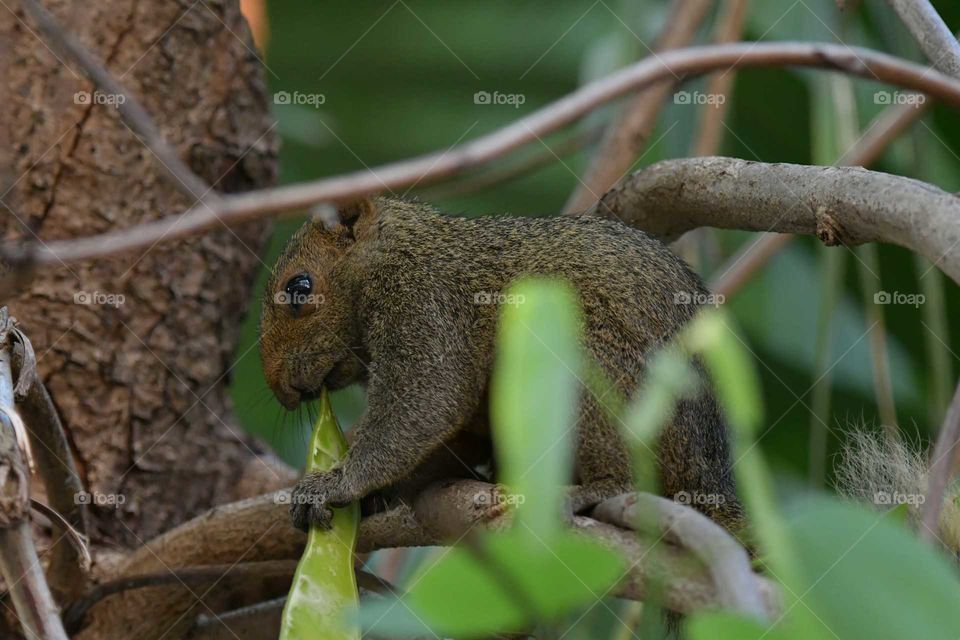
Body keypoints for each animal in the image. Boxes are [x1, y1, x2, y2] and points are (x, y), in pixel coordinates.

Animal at [259, 196, 743, 532]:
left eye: (300, 288)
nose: (280, 389)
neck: (399, 249)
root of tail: (708, 479)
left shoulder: (425, 300)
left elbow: (425, 402)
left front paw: (339, 483)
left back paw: (596, 487)